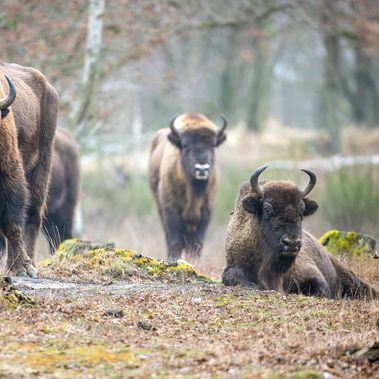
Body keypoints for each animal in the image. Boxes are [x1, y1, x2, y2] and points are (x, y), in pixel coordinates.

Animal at [0, 63, 58, 280]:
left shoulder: (10, 175)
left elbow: (12, 223)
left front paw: (23, 268)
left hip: (41, 167)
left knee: (33, 215)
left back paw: (28, 265)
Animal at [148, 113, 227, 262]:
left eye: (213, 144)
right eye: (185, 145)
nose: (201, 169)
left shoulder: (206, 212)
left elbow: (197, 244)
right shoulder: (171, 211)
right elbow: (175, 241)